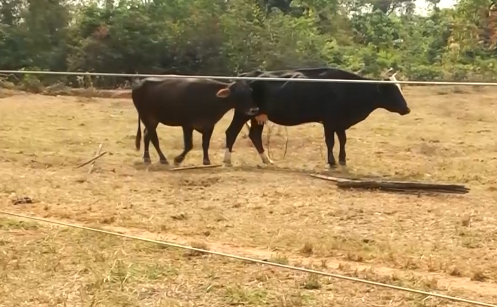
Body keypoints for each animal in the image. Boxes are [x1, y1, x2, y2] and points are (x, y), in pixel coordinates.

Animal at [132, 76, 260, 166]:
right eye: (238, 94)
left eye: (250, 92)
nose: (254, 109)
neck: (212, 98)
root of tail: (140, 83)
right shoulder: (187, 125)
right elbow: (189, 145)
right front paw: (178, 159)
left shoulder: (209, 125)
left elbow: (205, 143)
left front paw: (206, 160)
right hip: (147, 117)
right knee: (154, 138)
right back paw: (163, 159)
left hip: (153, 120)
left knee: (147, 135)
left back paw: (147, 158)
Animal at [223, 67, 408, 168]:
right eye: (392, 90)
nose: (407, 109)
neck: (347, 87)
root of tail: (244, 76)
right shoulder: (329, 120)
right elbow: (330, 141)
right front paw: (332, 162)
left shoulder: (340, 122)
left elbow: (343, 140)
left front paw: (342, 160)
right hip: (242, 113)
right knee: (231, 132)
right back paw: (227, 160)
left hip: (257, 116)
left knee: (255, 135)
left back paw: (267, 160)